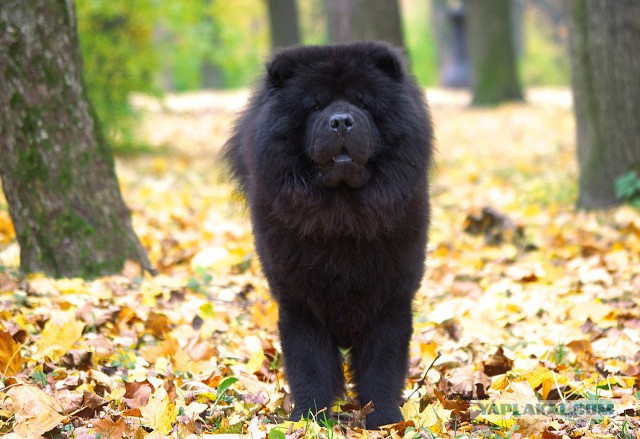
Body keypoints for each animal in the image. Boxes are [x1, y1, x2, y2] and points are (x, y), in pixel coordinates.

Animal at [222, 42, 432, 430]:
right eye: (315, 107)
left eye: (363, 103)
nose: (341, 120)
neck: (342, 219)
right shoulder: (300, 302)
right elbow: (310, 364)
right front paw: (308, 418)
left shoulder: (390, 300)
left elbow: (382, 366)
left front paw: (384, 419)